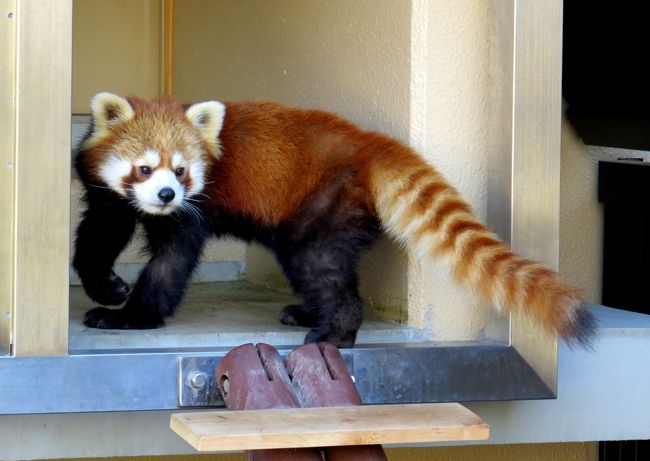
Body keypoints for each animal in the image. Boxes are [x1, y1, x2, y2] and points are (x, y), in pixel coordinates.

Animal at [73, 92, 596, 344]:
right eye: (145, 168)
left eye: (182, 170)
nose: (166, 193)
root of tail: (366, 142)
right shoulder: (110, 197)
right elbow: (97, 237)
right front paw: (107, 286)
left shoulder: (193, 208)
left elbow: (171, 261)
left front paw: (131, 316)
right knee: (325, 269)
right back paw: (311, 311)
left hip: (324, 202)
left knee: (318, 265)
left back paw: (334, 331)